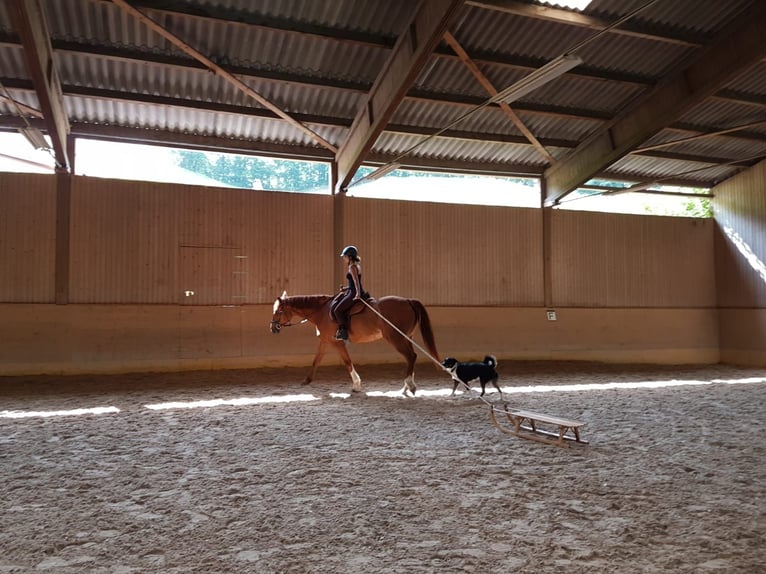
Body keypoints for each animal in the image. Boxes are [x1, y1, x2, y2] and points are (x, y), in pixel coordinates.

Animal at [270, 290, 440, 396]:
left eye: (278, 311)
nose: (272, 328)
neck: (322, 311)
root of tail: (408, 301)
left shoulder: (337, 343)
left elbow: (347, 362)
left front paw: (356, 385)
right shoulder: (325, 341)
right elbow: (316, 360)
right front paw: (307, 380)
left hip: (396, 338)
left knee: (411, 356)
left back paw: (409, 385)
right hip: (406, 337)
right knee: (412, 357)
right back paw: (406, 387)